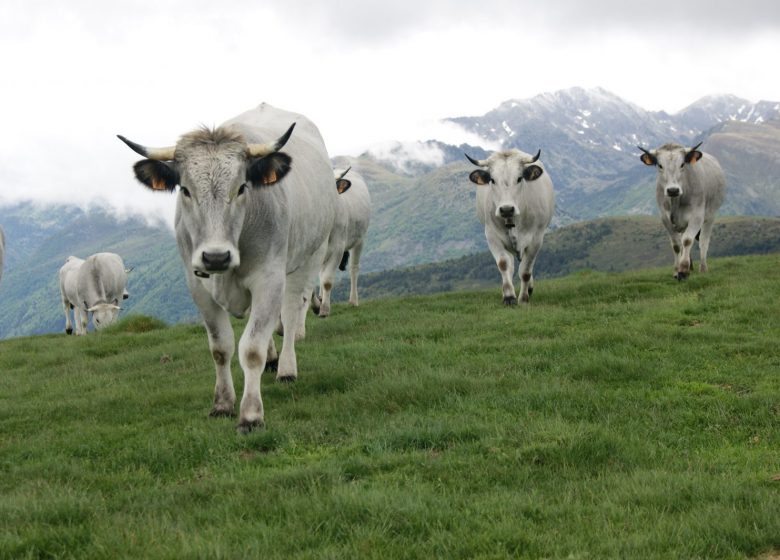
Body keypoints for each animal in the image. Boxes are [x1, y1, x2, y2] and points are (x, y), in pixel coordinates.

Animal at [117, 101, 336, 434]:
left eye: (242, 187)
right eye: (185, 190)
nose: (216, 257)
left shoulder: (269, 279)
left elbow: (252, 348)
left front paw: (251, 415)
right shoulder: (197, 286)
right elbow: (221, 347)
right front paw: (222, 404)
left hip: (309, 256)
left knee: (290, 313)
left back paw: (286, 368)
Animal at [310, 164, 372, 318]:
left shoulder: (338, 248)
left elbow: (327, 281)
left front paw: (324, 309)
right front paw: (317, 304)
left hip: (359, 240)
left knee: (354, 269)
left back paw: (353, 301)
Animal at [464, 148, 556, 306]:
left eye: (519, 178)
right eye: (492, 180)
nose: (506, 209)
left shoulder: (536, 239)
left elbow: (525, 271)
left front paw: (523, 299)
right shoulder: (492, 236)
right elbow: (504, 264)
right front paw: (509, 297)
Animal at [640, 141, 724, 278]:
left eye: (682, 164)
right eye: (660, 165)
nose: (673, 190)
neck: (676, 201)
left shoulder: (697, 216)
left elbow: (688, 240)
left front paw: (683, 270)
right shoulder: (665, 219)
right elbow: (677, 245)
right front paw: (677, 270)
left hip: (710, 215)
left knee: (703, 241)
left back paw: (703, 268)